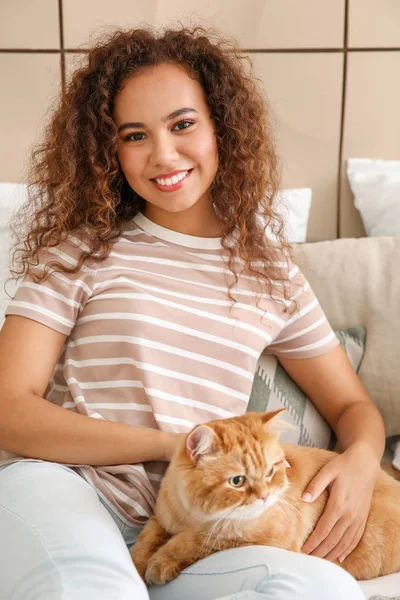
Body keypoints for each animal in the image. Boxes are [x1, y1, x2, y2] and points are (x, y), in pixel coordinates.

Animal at [130, 410, 400, 584]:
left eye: (270, 471)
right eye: (237, 481)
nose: (265, 496)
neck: (192, 517)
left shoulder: (254, 538)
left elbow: (193, 542)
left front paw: (161, 563)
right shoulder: (160, 519)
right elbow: (145, 542)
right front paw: (137, 567)